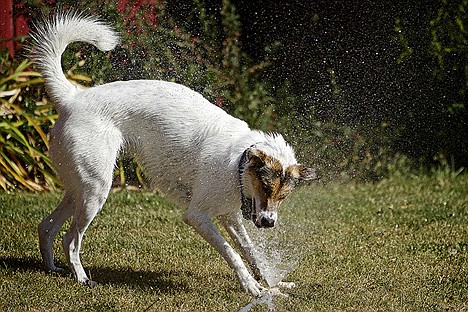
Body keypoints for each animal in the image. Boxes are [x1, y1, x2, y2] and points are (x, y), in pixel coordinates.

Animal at [31, 11, 316, 296]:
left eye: (283, 196)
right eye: (266, 187)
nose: (269, 223)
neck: (238, 161)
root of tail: (74, 97)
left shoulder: (230, 217)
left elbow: (251, 252)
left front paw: (271, 284)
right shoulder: (197, 217)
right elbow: (232, 254)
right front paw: (252, 288)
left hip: (79, 188)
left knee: (46, 227)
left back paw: (52, 268)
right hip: (95, 190)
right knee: (70, 239)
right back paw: (81, 278)